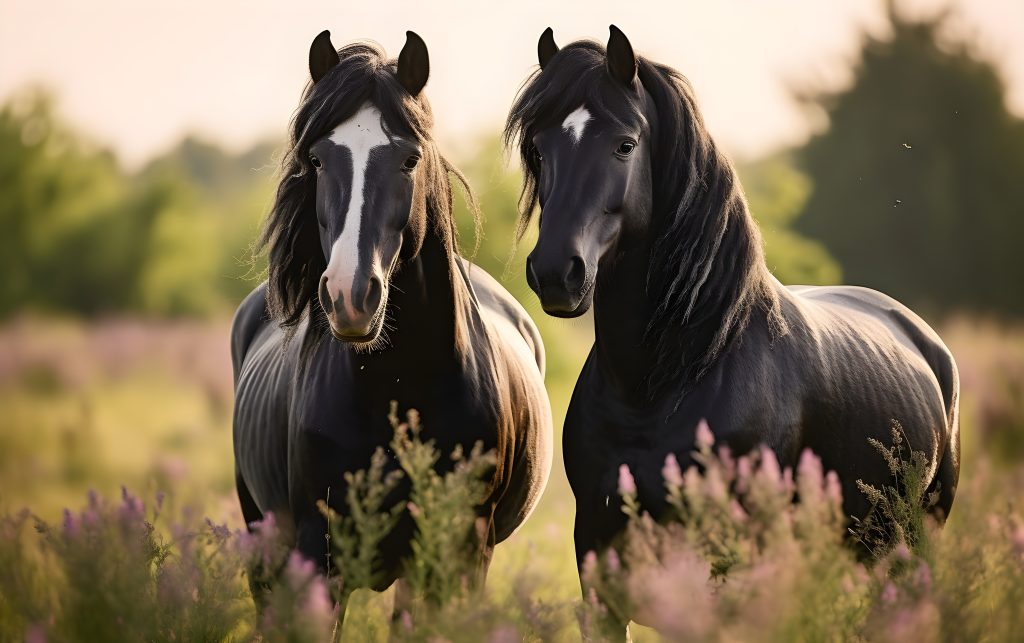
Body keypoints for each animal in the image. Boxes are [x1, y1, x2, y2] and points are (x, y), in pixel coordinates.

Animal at [232, 30, 552, 614]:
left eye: (409, 159)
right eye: (317, 159)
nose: (350, 295)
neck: (402, 385)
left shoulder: (459, 555)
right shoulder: (319, 554)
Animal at [507, 26, 962, 634]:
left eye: (625, 144)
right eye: (538, 147)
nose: (558, 272)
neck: (664, 383)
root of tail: (920, 336)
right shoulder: (599, 572)